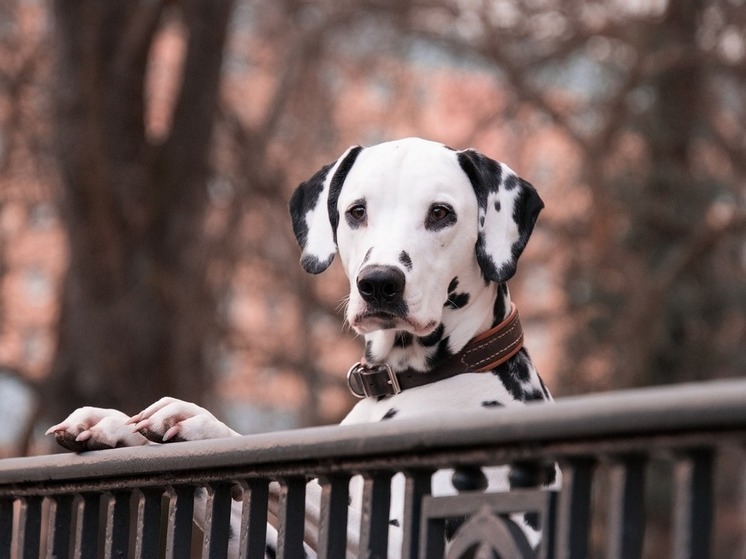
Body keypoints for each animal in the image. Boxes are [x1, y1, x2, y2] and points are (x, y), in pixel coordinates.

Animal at [48, 139, 552, 556]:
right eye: (356, 211)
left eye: (441, 213)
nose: (379, 283)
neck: (404, 383)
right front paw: (115, 425)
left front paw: (200, 422)